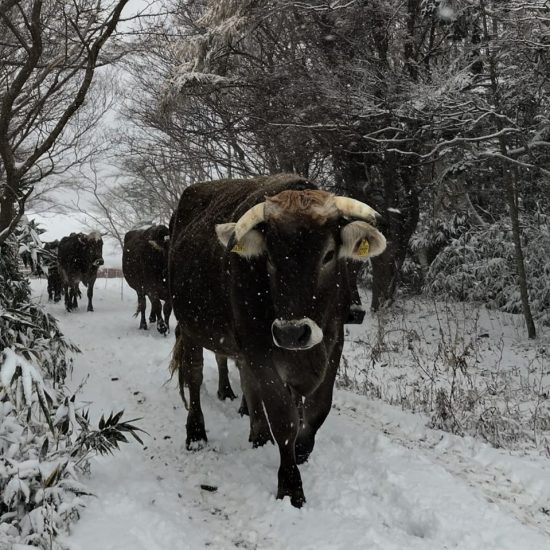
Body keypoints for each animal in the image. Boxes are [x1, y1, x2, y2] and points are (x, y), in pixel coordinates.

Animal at [169, 176, 388, 508]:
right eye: (270, 258)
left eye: (328, 255)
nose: (291, 333)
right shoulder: (260, 350)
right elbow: (284, 417)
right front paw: (290, 485)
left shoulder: (333, 345)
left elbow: (316, 410)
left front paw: (301, 451)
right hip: (190, 326)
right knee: (193, 378)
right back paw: (196, 434)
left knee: (247, 383)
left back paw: (258, 435)